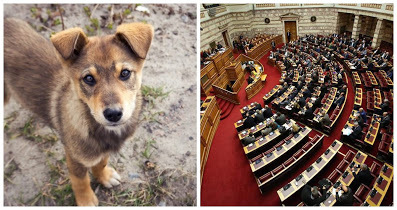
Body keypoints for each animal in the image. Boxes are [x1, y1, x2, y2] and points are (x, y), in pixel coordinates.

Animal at [4, 18, 153, 207]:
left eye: (125, 73)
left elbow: (101, 162)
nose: (113, 114)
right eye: (88, 78)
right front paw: (86, 200)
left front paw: (104, 177)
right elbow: (80, 180)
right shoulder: (75, 157)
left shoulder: (102, 151)